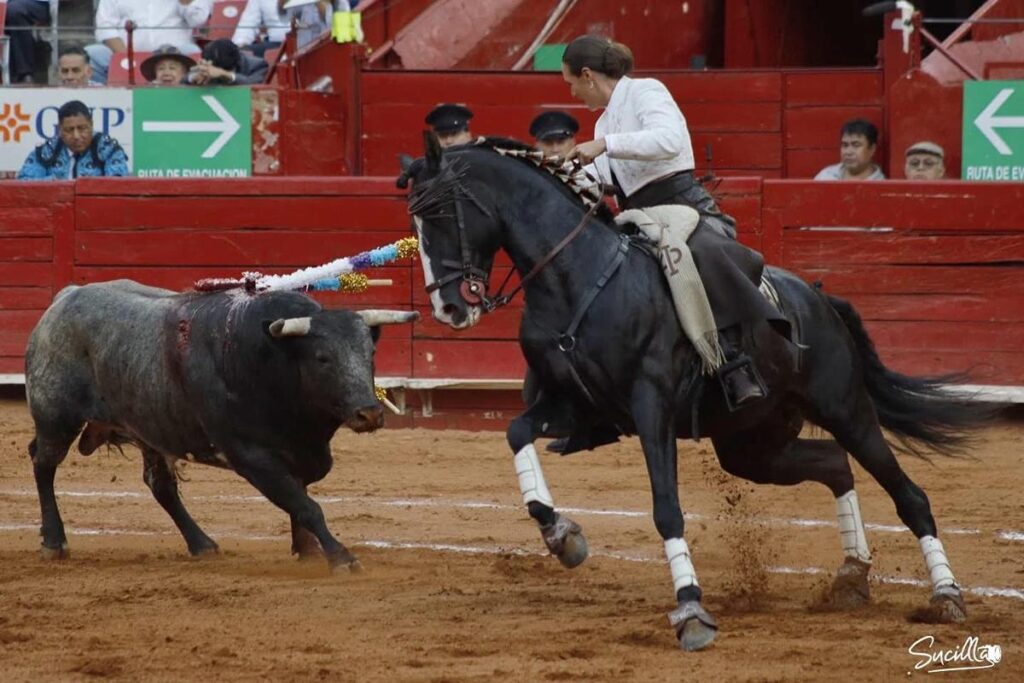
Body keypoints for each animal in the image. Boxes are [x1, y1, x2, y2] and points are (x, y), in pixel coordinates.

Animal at [28, 278, 419, 573]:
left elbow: (300, 503)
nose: (369, 414)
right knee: (43, 464)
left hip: (149, 429)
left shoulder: (298, 453)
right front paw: (340, 557)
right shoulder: (252, 458)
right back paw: (54, 542)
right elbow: (307, 506)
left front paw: (307, 552)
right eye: (323, 358)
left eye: (370, 354)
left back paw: (202, 544)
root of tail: (64, 299)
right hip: (55, 418)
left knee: (160, 485)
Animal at [401, 135, 991, 651]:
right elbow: (514, 432)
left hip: (845, 409)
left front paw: (690, 610)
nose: (448, 308)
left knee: (908, 494)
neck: (577, 277)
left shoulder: (651, 405)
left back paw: (946, 595)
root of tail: (819, 298)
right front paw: (562, 535)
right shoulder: (574, 405)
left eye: (440, 212)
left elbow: (666, 507)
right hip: (752, 445)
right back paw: (851, 575)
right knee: (835, 465)